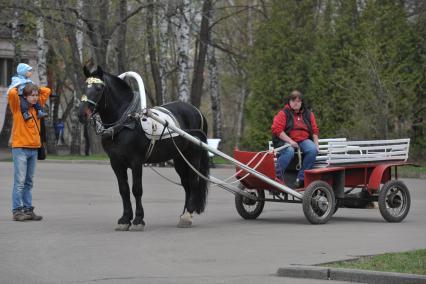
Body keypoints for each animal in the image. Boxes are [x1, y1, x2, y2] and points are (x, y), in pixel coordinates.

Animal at [78, 66, 210, 231]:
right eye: (84, 87)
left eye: (98, 88)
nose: (81, 114)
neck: (125, 122)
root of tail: (197, 111)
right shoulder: (116, 163)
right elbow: (124, 190)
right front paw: (124, 219)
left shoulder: (136, 162)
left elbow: (136, 189)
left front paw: (138, 220)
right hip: (179, 158)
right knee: (186, 185)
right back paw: (184, 214)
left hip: (193, 155)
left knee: (193, 182)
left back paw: (187, 215)